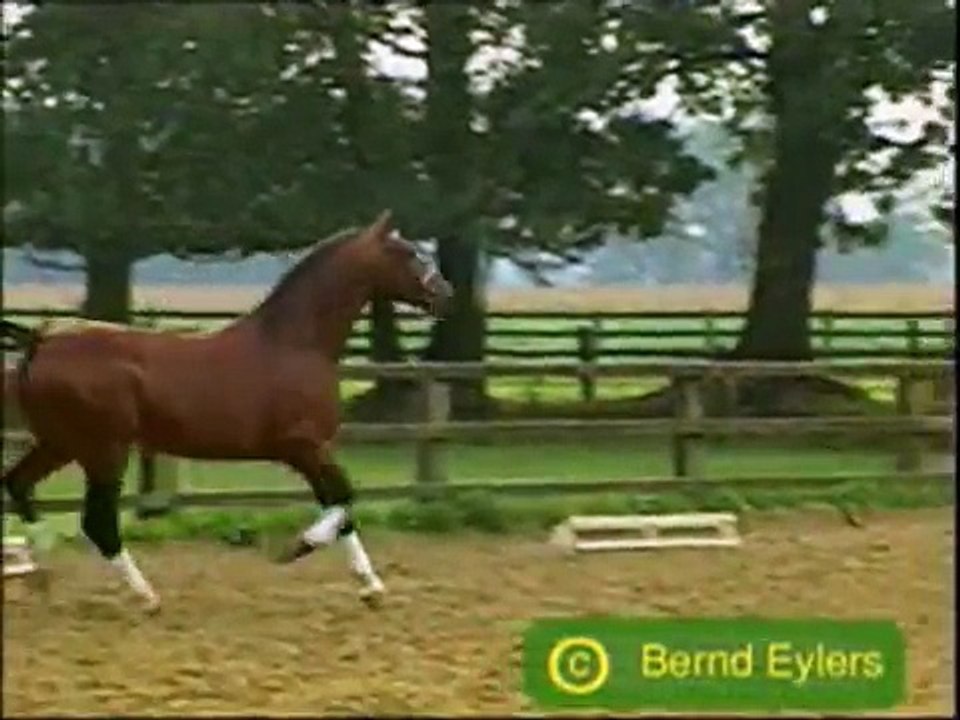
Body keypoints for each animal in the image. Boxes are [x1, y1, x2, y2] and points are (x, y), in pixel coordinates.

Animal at [0, 210, 452, 613]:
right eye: (408, 253)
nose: (445, 294)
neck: (294, 343)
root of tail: (41, 340)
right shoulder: (301, 445)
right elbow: (344, 497)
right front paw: (300, 547)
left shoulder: (310, 451)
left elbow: (339, 506)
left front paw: (371, 587)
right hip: (103, 449)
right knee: (96, 522)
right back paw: (145, 596)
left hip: (60, 443)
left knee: (19, 485)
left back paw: (42, 576)